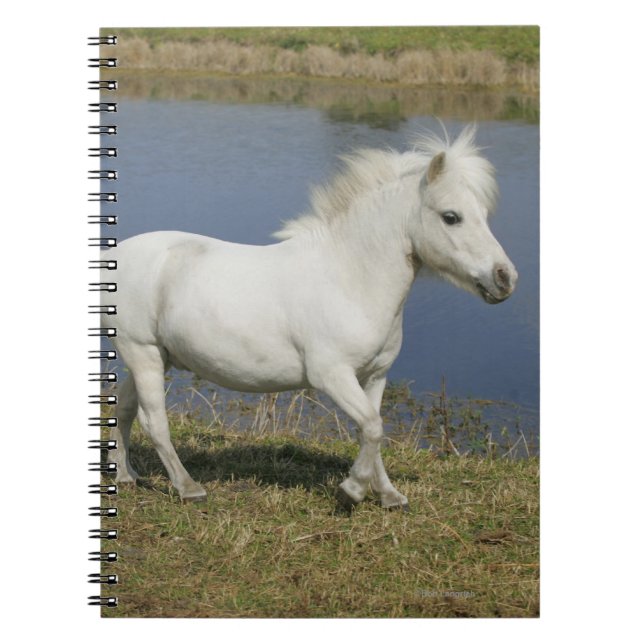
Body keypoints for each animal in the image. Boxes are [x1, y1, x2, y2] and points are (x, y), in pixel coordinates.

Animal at [101, 124, 517, 511]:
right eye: (451, 217)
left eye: (483, 215)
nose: (505, 278)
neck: (349, 276)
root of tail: (115, 258)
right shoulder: (331, 375)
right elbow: (372, 427)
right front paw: (352, 491)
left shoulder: (374, 376)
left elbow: (373, 430)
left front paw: (388, 495)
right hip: (143, 353)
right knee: (153, 421)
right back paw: (188, 488)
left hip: (156, 357)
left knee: (123, 408)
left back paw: (126, 476)